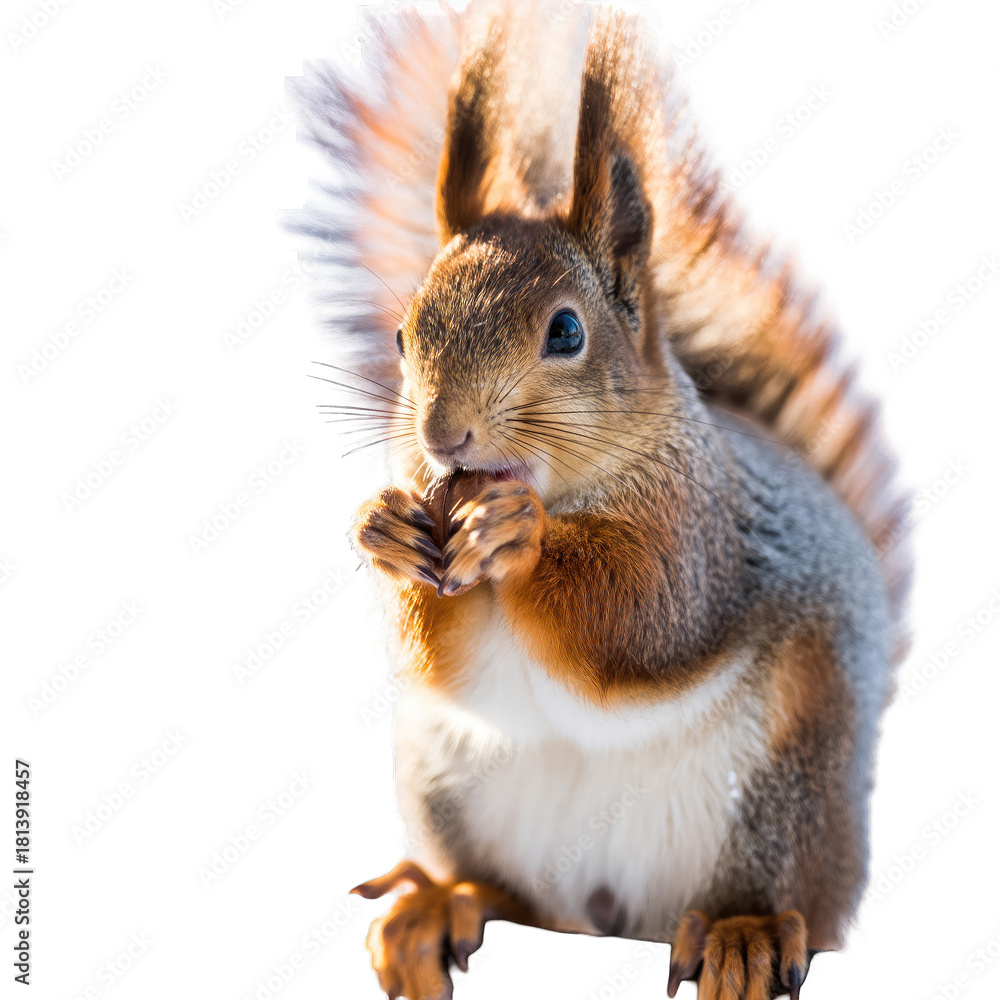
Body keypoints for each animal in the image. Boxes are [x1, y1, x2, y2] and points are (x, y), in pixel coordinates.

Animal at [290, 3, 911, 998]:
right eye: (402, 334)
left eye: (566, 332)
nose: (443, 437)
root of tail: (616, 917)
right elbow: (440, 660)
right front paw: (381, 527)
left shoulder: (701, 529)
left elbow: (645, 618)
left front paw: (524, 538)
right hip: (448, 782)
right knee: (506, 896)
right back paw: (439, 902)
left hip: (786, 786)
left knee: (788, 898)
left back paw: (742, 934)